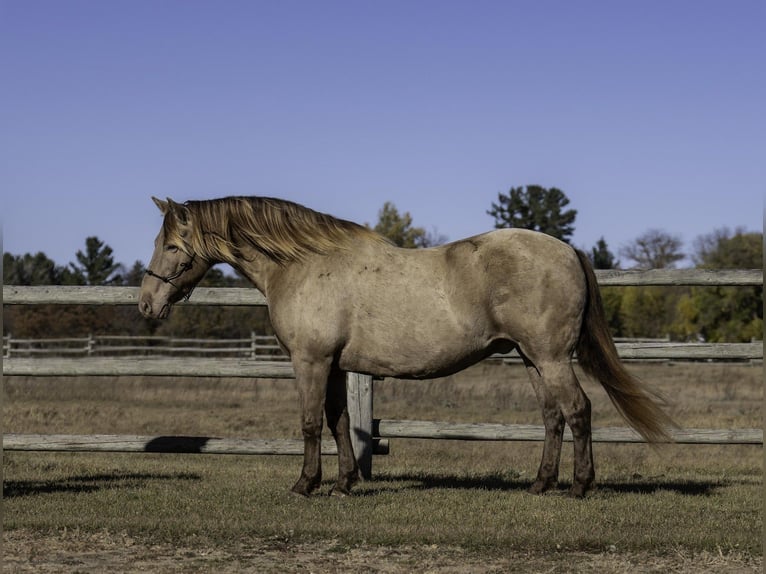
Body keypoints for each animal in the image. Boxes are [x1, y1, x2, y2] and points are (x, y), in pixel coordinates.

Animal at [139, 195, 674, 498]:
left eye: (171, 246)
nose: (146, 303)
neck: (304, 264)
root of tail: (567, 249)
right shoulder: (335, 366)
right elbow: (339, 423)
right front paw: (344, 484)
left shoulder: (311, 361)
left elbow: (311, 424)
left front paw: (306, 484)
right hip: (532, 360)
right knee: (553, 417)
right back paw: (541, 485)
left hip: (550, 358)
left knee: (579, 411)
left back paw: (580, 487)